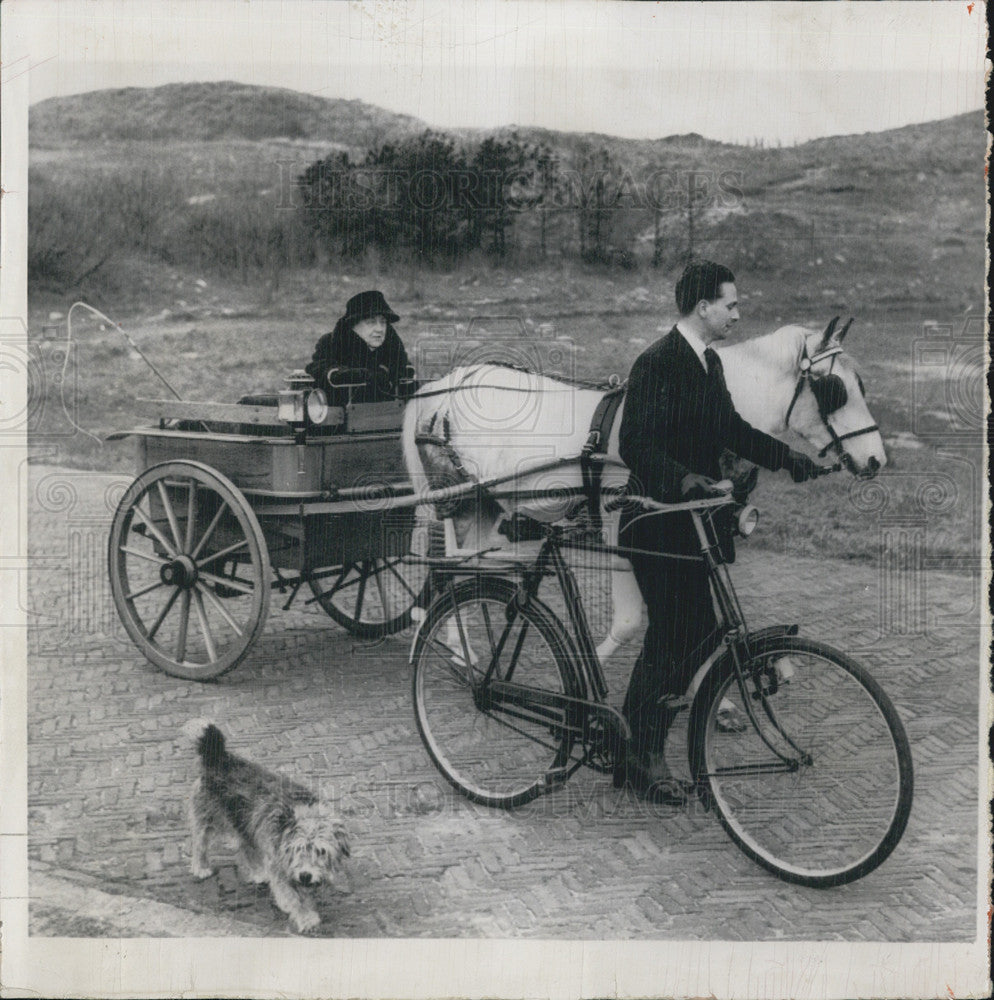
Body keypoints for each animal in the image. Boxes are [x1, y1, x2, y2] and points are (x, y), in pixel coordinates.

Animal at [184, 724, 350, 932]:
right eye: (298, 848)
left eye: (321, 851)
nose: (305, 876)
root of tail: (219, 757)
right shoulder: (280, 866)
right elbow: (293, 897)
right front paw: (305, 917)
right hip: (208, 820)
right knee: (199, 845)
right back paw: (201, 868)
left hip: (246, 824)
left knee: (245, 849)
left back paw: (258, 873)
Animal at [404, 320, 884, 660]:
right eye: (834, 389)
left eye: (860, 385)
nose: (877, 459)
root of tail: (441, 387)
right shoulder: (622, 527)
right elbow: (632, 620)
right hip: (457, 497)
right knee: (448, 565)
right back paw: (459, 647)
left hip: (487, 503)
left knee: (469, 565)